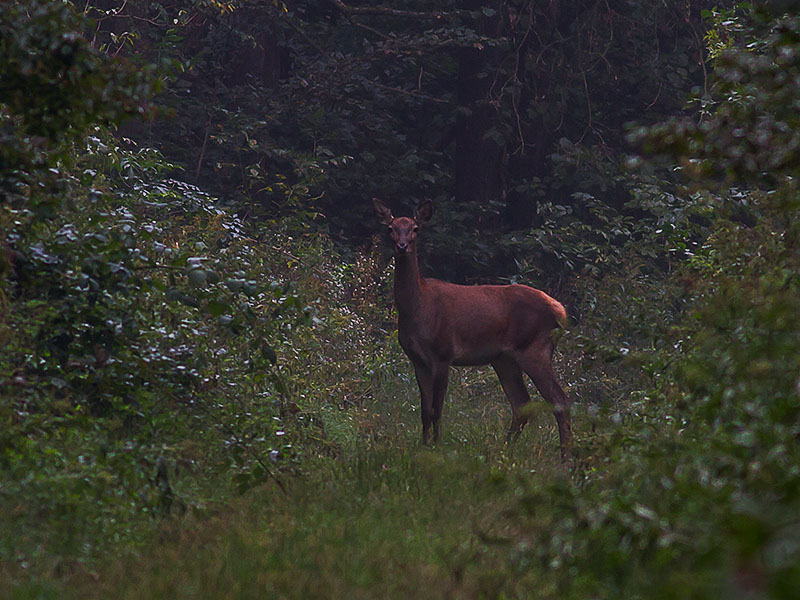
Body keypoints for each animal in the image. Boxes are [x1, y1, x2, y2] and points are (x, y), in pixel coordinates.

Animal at [372, 197, 572, 460]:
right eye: (390, 228)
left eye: (415, 228)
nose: (402, 246)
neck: (418, 309)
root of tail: (561, 312)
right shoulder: (417, 360)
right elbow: (424, 411)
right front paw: (424, 446)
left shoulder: (443, 353)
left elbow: (437, 409)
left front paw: (437, 447)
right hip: (504, 358)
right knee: (521, 403)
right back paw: (504, 449)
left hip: (534, 348)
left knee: (560, 400)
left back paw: (566, 457)